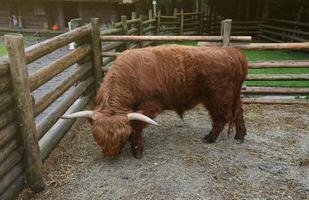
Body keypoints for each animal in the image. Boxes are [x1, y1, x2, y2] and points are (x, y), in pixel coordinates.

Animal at [62, 45, 248, 158]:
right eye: (97, 138)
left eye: (120, 139)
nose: (111, 154)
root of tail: (231, 51)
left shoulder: (151, 103)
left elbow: (137, 125)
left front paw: (137, 149)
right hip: (232, 96)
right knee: (238, 113)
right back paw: (240, 136)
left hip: (218, 97)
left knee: (221, 118)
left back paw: (210, 138)